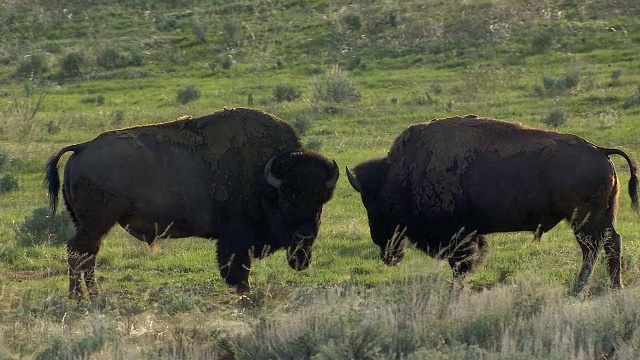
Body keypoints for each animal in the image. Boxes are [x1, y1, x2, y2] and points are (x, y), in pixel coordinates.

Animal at [46, 107, 340, 298]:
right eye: (287, 199)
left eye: (321, 201)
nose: (305, 236)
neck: (262, 177)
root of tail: (82, 147)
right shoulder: (235, 238)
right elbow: (237, 270)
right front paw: (245, 295)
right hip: (96, 223)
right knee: (79, 252)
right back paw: (82, 297)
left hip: (89, 224)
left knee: (86, 254)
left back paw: (90, 296)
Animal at [348, 115, 636, 292]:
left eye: (372, 204)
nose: (387, 254)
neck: (403, 174)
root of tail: (600, 150)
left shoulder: (460, 236)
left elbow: (462, 264)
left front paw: (456, 290)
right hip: (597, 218)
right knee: (607, 245)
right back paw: (609, 286)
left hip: (584, 220)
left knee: (597, 247)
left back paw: (585, 287)